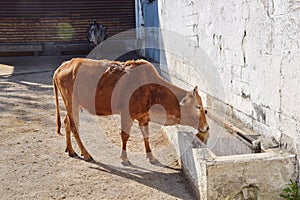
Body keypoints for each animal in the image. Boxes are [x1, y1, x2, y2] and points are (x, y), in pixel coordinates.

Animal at [52, 57, 209, 164]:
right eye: (198, 106)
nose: (207, 127)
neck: (152, 89)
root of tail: (63, 66)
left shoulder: (143, 117)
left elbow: (146, 136)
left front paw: (151, 156)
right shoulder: (126, 115)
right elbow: (125, 136)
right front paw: (124, 158)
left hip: (72, 106)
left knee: (67, 123)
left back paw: (71, 150)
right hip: (71, 103)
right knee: (74, 126)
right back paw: (86, 154)